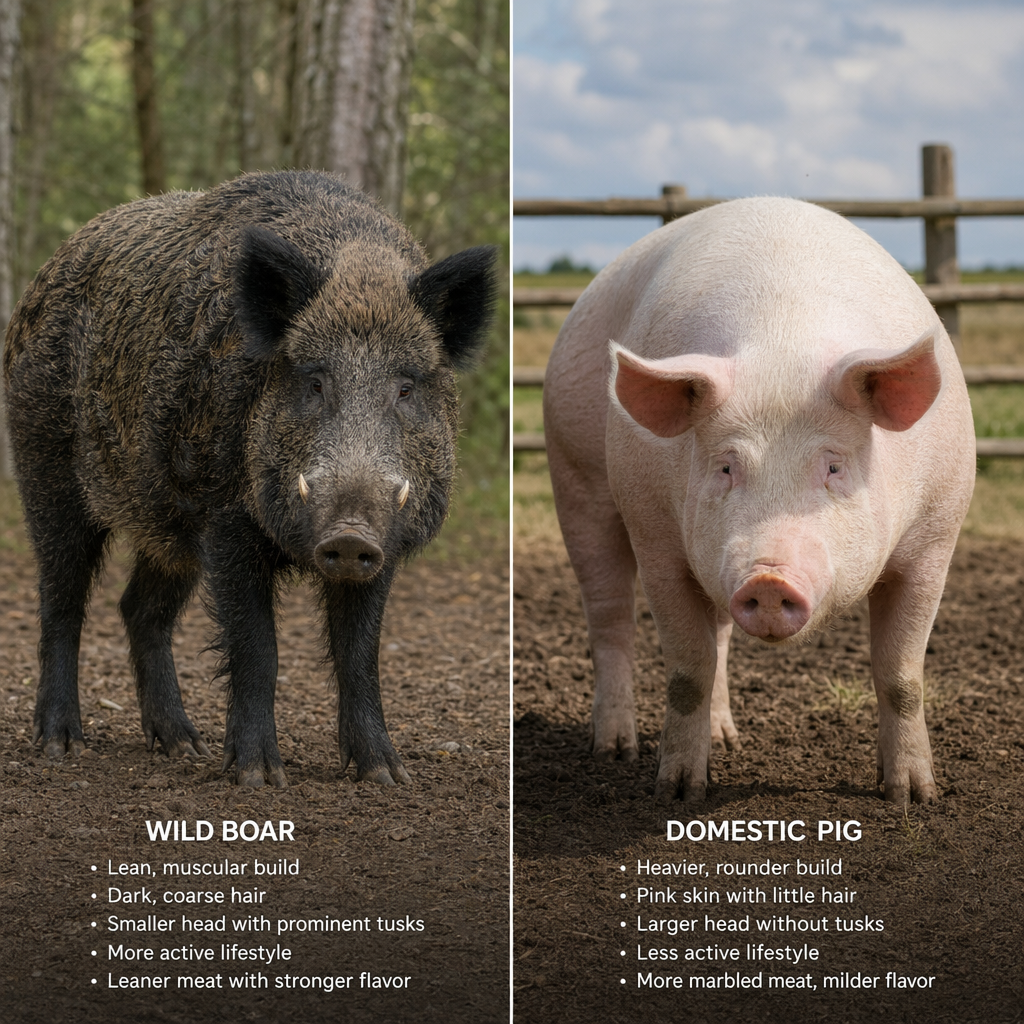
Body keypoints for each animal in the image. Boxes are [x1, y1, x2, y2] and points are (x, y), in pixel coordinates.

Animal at [4, 170, 496, 788]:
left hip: (168, 525)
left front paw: (387, 775)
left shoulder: (388, 539)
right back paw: (61, 744)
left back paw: (182, 746)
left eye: (405, 387)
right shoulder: (224, 519)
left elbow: (361, 653)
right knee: (61, 600)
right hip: (44, 465)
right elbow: (258, 646)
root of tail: (41, 282)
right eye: (314, 381)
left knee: (139, 609)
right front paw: (258, 777)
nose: (349, 534)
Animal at [543, 197, 975, 806]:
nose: (768, 578)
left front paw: (913, 797)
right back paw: (614, 749)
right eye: (726, 466)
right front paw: (678, 792)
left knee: (720, 632)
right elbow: (686, 671)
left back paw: (727, 739)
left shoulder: (936, 536)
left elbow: (901, 675)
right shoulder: (656, 538)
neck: (783, 342)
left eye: (834, 466)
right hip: (575, 475)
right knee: (609, 616)